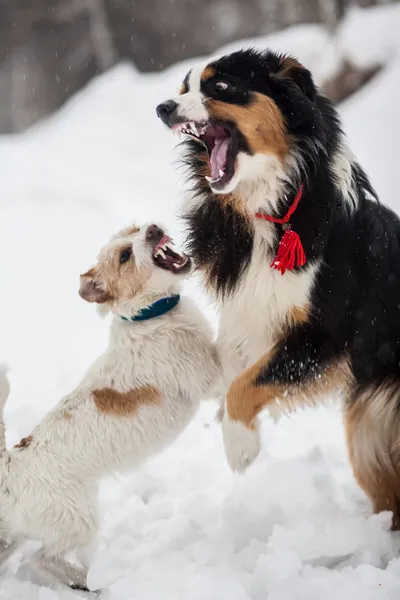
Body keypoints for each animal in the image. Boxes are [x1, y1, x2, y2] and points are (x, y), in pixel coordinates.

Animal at [0, 223, 220, 592]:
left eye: (135, 229)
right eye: (125, 255)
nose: (154, 228)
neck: (148, 317)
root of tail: (11, 467)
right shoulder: (208, 378)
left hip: (19, 532)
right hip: (78, 520)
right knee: (43, 559)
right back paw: (89, 584)